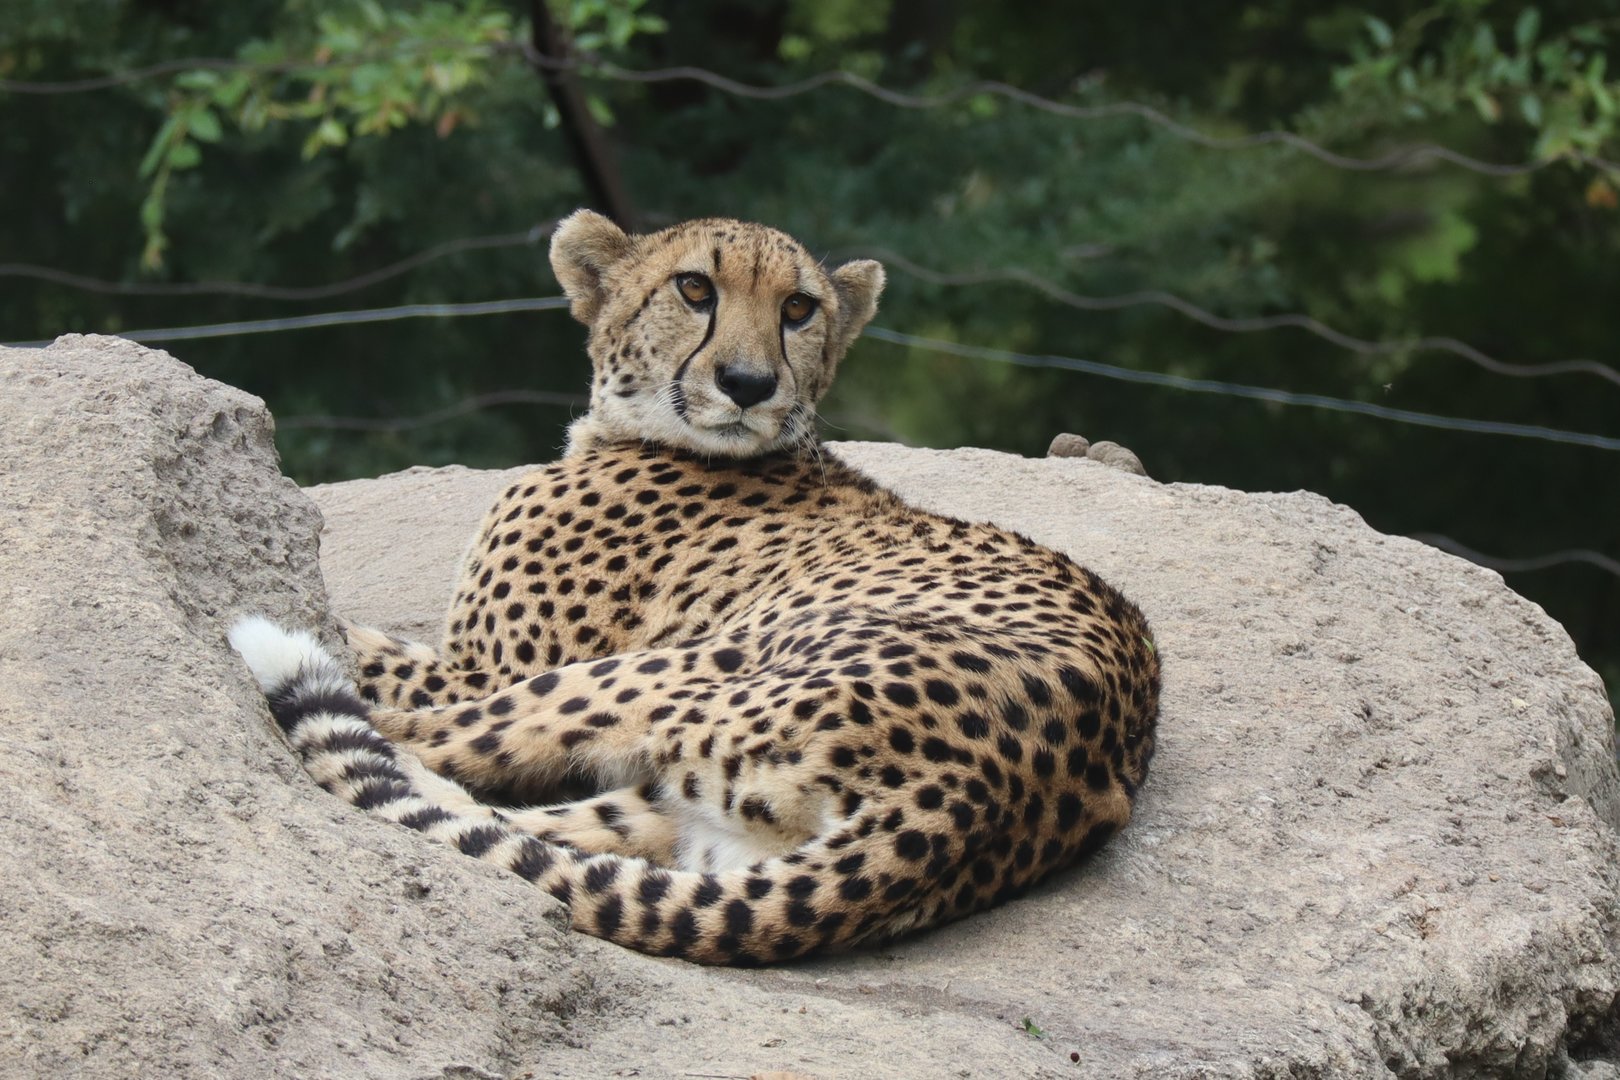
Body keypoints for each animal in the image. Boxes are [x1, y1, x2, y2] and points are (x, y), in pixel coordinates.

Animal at [231, 209, 1161, 966]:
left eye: (800, 309)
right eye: (694, 288)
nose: (748, 385)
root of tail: (985, 801)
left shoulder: (481, 669)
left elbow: (359, 639)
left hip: (666, 673)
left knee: (424, 744)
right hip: (692, 812)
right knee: (516, 827)